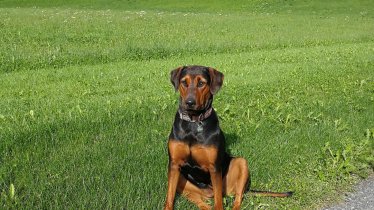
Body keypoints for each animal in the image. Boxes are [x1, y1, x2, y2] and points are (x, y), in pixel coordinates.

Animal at [164, 65, 292, 210]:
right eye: (184, 82)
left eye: (201, 83)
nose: (189, 102)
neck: (193, 123)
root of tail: (208, 192)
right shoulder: (174, 164)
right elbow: (169, 197)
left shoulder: (214, 168)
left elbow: (219, 201)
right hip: (182, 179)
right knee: (199, 200)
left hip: (240, 164)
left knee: (237, 196)